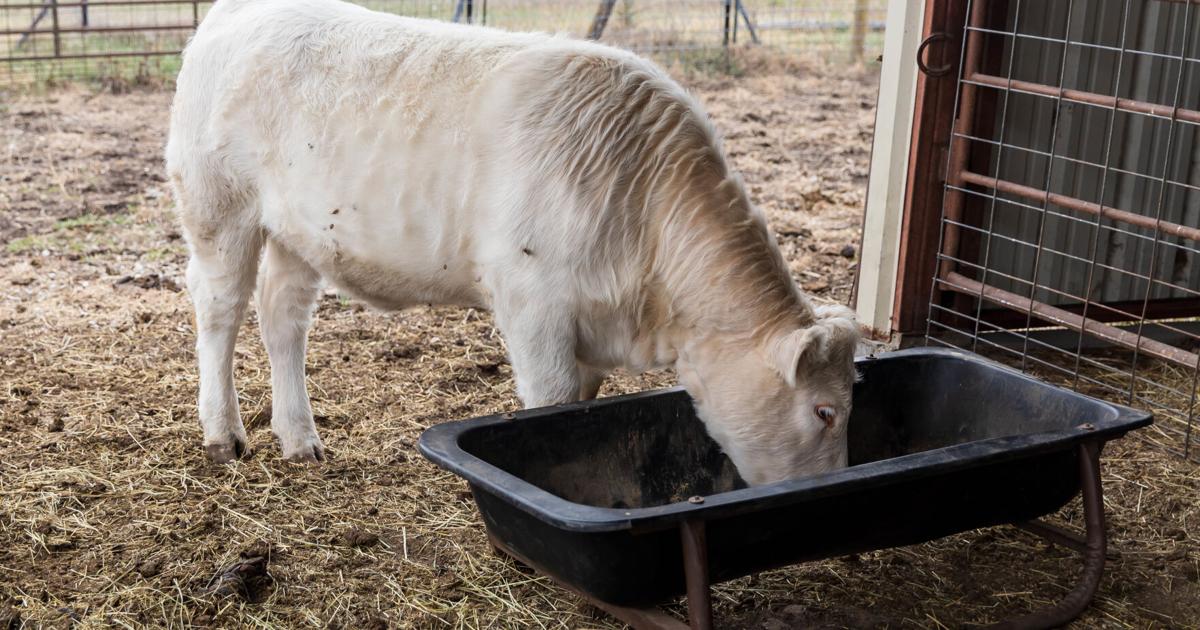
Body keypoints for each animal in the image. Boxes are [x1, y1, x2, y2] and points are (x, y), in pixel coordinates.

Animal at [165, 0, 860, 486]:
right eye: (825, 411)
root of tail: (237, 11)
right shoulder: (533, 304)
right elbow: (550, 402)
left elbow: (581, 405)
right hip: (219, 208)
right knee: (219, 311)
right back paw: (224, 435)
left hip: (299, 231)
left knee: (282, 316)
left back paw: (300, 438)